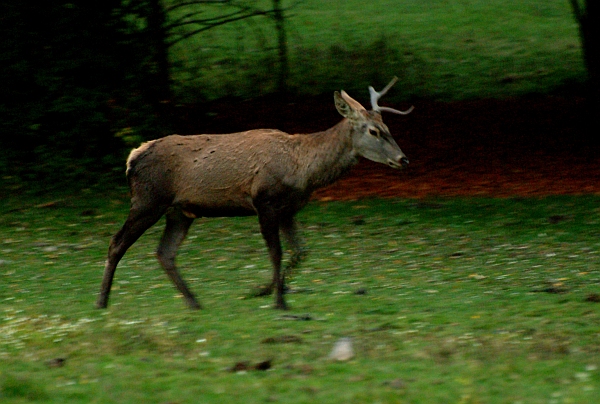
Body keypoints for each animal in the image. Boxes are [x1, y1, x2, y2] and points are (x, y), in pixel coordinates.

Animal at [97, 77, 412, 310]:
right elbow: (276, 252)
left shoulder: (289, 208)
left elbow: (301, 251)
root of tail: (132, 158)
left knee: (165, 252)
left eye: (387, 127)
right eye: (373, 131)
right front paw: (278, 301)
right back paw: (102, 302)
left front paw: (262, 291)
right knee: (116, 243)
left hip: (180, 211)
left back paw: (194, 302)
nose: (403, 159)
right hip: (148, 199)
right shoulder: (265, 200)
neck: (302, 169)